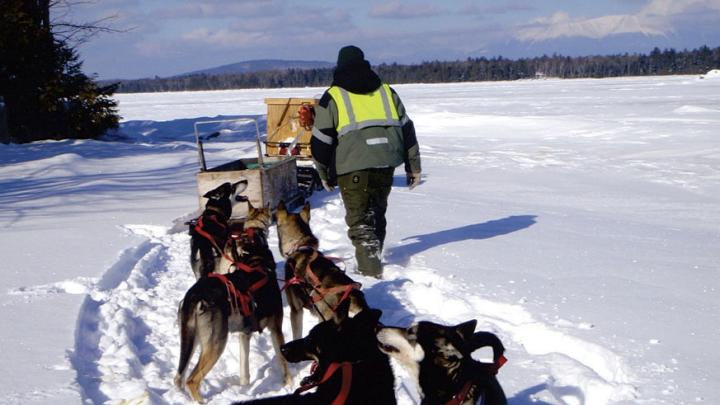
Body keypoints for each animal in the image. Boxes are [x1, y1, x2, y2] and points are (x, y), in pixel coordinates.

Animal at [174, 205, 290, 400]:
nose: (275, 216)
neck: (257, 263)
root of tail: (194, 295)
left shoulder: (244, 334)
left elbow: (244, 371)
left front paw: (244, 386)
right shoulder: (276, 328)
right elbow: (284, 361)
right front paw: (289, 383)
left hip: (190, 339)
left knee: (179, 378)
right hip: (216, 343)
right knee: (192, 380)